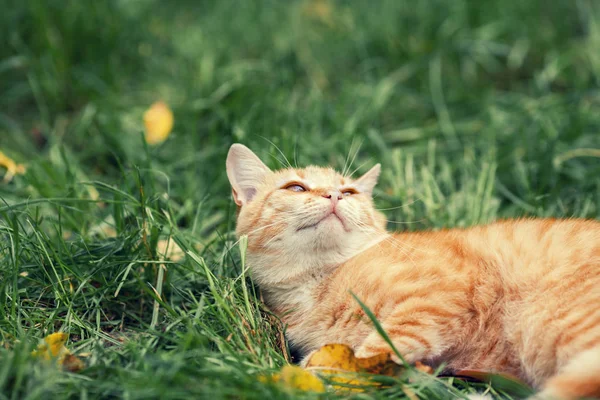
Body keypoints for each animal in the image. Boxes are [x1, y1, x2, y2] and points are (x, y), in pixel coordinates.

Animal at [225, 145, 600, 400]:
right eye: (296, 188)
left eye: (349, 192)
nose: (333, 196)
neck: (319, 282)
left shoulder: (437, 299)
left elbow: (370, 351)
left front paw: (297, 377)